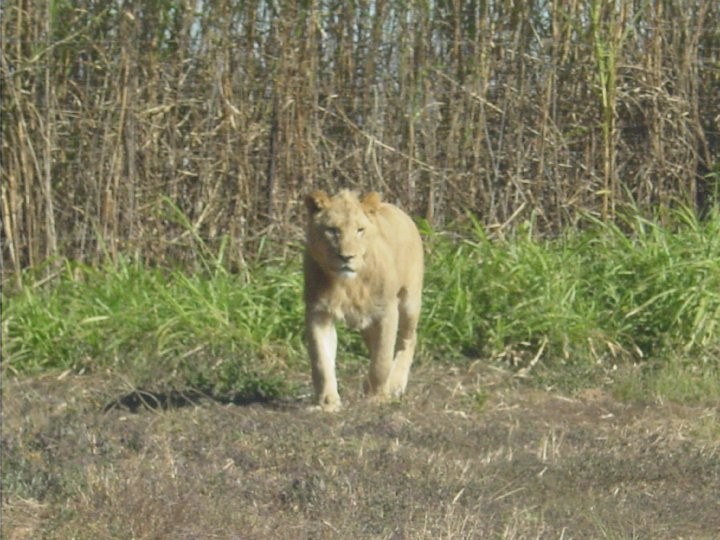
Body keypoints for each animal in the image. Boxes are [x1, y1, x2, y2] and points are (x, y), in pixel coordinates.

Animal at [304, 189, 424, 411]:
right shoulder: (318, 312)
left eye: (360, 230)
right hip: (367, 323)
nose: (346, 257)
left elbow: (382, 360)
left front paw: (378, 398)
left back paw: (395, 385)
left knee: (408, 339)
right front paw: (327, 403)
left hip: (410, 301)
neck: (348, 284)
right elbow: (321, 361)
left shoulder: (387, 311)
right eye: (332, 230)